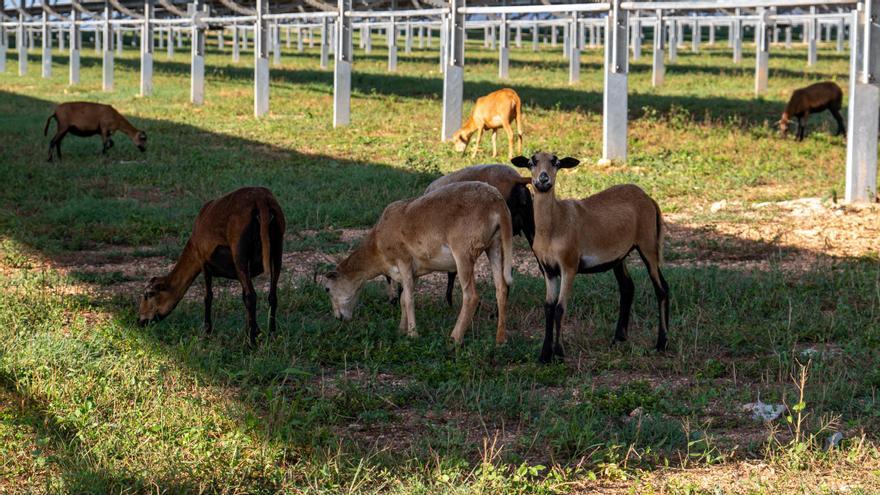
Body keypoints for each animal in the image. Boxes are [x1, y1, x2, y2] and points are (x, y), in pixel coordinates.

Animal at [136, 186, 286, 344]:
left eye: (148, 294)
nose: (139, 320)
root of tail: (261, 199)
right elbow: (241, 296)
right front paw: (255, 330)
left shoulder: (203, 261)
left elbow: (208, 297)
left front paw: (207, 331)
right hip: (277, 246)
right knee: (272, 295)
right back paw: (272, 334)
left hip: (239, 251)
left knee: (251, 296)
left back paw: (251, 343)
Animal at [324, 182, 516, 344]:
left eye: (327, 289)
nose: (338, 318)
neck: (376, 250)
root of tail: (497, 203)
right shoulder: (412, 271)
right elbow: (403, 298)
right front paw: (401, 329)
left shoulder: (403, 260)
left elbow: (409, 299)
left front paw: (412, 334)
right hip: (494, 245)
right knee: (501, 289)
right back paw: (500, 339)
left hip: (463, 250)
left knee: (471, 296)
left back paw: (455, 338)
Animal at [508, 153, 668, 366]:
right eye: (531, 162)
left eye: (556, 162)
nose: (543, 179)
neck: (554, 224)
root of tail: (649, 199)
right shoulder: (548, 270)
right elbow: (548, 308)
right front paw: (544, 356)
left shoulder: (569, 266)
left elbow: (560, 308)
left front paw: (559, 353)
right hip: (619, 256)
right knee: (627, 287)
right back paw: (618, 339)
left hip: (648, 245)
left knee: (661, 289)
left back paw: (661, 344)